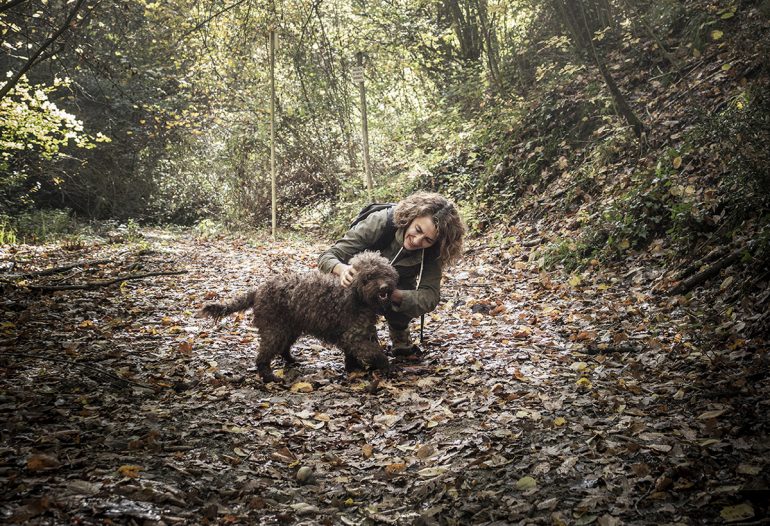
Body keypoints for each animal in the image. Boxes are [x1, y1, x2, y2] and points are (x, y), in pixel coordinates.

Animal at [198, 252, 396, 384]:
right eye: (369, 276)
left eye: (385, 272)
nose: (384, 287)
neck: (356, 294)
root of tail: (258, 290)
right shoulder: (354, 336)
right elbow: (374, 352)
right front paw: (385, 366)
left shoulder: (351, 335)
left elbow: (353, 354)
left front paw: (354, 369)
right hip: (274, 329)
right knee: (263, 357)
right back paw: (269, 377)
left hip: (289, 328)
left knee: (283, 349)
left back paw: (292, 361)